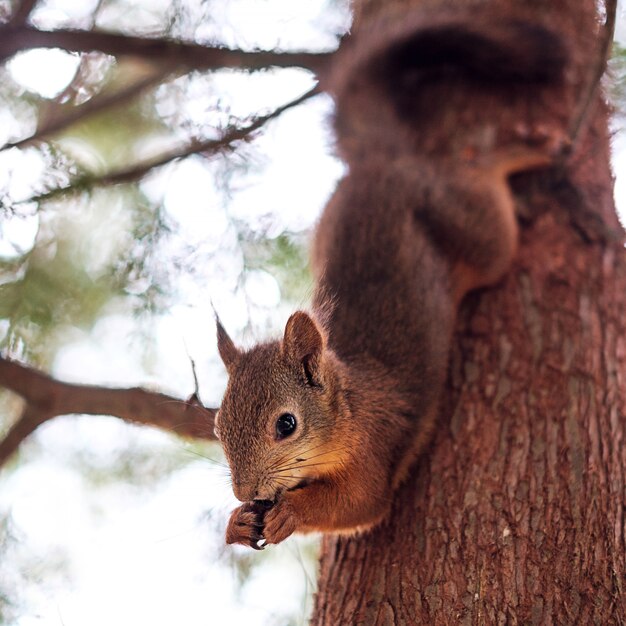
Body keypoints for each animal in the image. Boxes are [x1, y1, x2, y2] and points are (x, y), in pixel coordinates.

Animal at [212, 8, 564, 544]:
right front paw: (235, 522)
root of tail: (386, 161)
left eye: (286, 425)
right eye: (217, 425)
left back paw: (520, 152)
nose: (243, 491)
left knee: (482, 181)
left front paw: (291, 511)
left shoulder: (375, 448)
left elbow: (358, 504)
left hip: (479, 232)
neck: (349, 408)